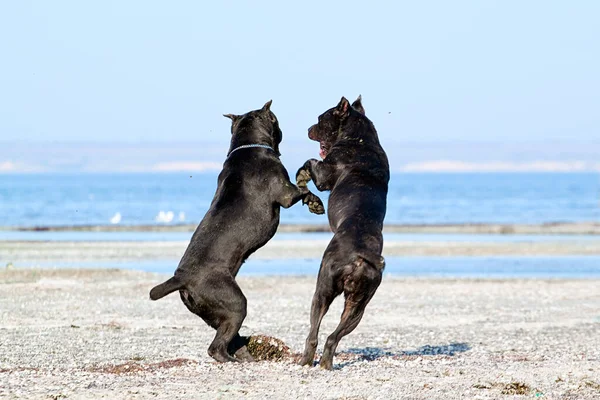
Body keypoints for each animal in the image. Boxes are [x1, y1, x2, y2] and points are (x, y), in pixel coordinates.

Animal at [149, 100, 324, 362]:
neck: (248, 145)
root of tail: (182, 278)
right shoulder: (285, 192)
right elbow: (302, 190)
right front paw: (315, 201)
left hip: (219, 313)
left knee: (228, 337)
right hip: (235, 302)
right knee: (216, 347)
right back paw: (232, 360)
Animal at [296, 95, 390, 370]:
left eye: (320, 119)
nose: (309, 128)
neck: (359, 138)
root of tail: (359, 258)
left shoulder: (324, 174)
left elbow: (309, 164)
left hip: (322, 290)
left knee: (314, 333)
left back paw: (305, 360)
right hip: (358, 305)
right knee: (333, 336)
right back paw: (326, 363)